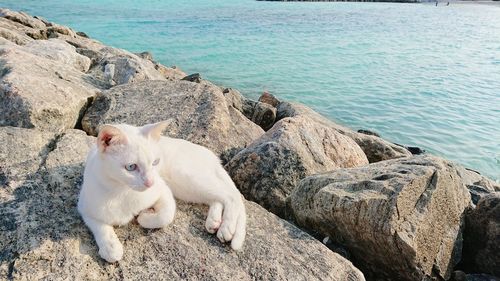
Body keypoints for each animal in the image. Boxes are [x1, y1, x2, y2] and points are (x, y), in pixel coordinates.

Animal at [77, 121, 247, 262]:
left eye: (155, 162)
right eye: (131, 167)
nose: (150, 182)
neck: (122, 191)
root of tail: (211, 155)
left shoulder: (162, 189)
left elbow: (165, 215)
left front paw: (144, 218)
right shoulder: (85, 207)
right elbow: (100, 227)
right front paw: (111, 247)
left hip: (185, 177)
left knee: (231, 196)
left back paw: (226, 228)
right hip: (189, 189)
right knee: (217, 198)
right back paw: (214, 222)